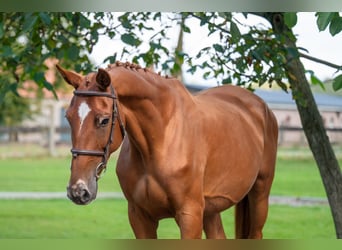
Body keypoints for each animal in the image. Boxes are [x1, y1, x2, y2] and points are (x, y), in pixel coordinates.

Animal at [56, 62, 278, 238]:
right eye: (68, 117)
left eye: (103, 120)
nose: (78, 190)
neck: (159, 142)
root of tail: (261, 106)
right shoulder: (139, 217)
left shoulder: (189, 216)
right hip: (211, 210)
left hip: (259, 196)